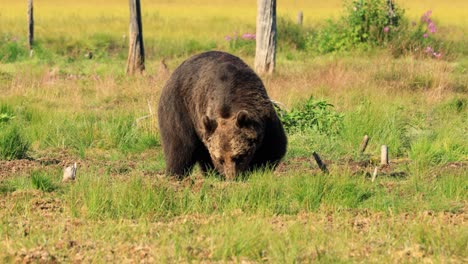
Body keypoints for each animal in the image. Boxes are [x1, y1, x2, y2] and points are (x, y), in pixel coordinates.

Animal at [159, 50, 288, 179]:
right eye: (220, 159)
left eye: (238, 156)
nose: (232, 178)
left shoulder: (265, 117)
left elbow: (274, 146)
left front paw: (260, 168)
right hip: (179, 107)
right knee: (180, 144)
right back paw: (176, 174)